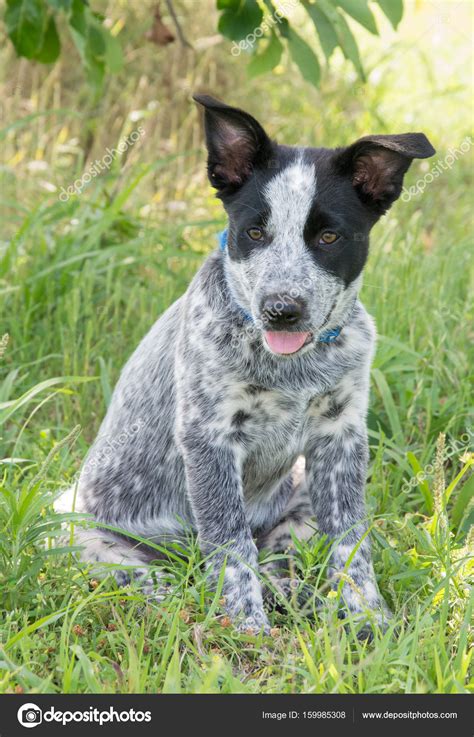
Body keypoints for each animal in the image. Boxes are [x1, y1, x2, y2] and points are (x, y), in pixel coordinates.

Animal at [58, 96, 434, 632]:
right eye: (254, 232)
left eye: (329, 237)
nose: (282, 308)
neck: (295, 365)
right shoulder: (210, 437)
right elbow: (230, 544)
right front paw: (246, 630)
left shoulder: (341, 438)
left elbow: (351, 543)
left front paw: (370, 619)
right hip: (85, 540)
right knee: (165, 581)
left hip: (301, 503)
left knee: (281, 565)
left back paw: (305, 602)